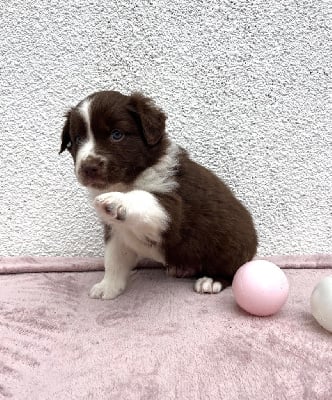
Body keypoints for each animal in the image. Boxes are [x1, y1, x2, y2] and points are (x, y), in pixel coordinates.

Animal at [59, 90, 258, 296]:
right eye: (78, 139)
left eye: (117, 135)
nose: (89, 167)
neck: (126, 182)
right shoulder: (117, 231)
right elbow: (114, 260)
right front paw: (108, 287)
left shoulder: (173, 208)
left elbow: (145, 197)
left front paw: (117, 201)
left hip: (231, 245)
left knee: (233, 270)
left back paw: (211, 280)